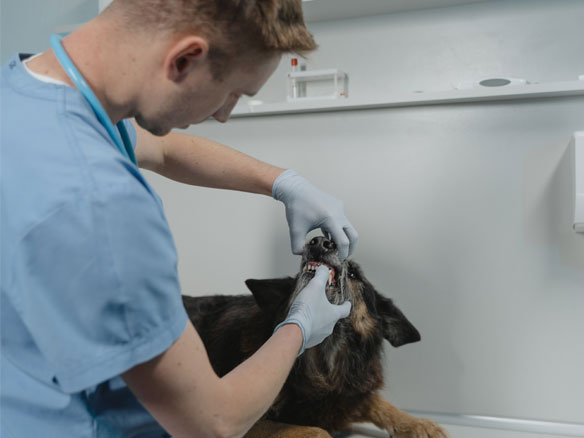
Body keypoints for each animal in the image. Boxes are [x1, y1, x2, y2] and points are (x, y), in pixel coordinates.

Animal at [182, 236, 448, 438]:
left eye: (354, 274)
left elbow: (377, 402)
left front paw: (420, 424)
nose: (319, 241)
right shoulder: (245, 422)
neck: (323, 361)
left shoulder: (347, 394)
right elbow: (316, 430)